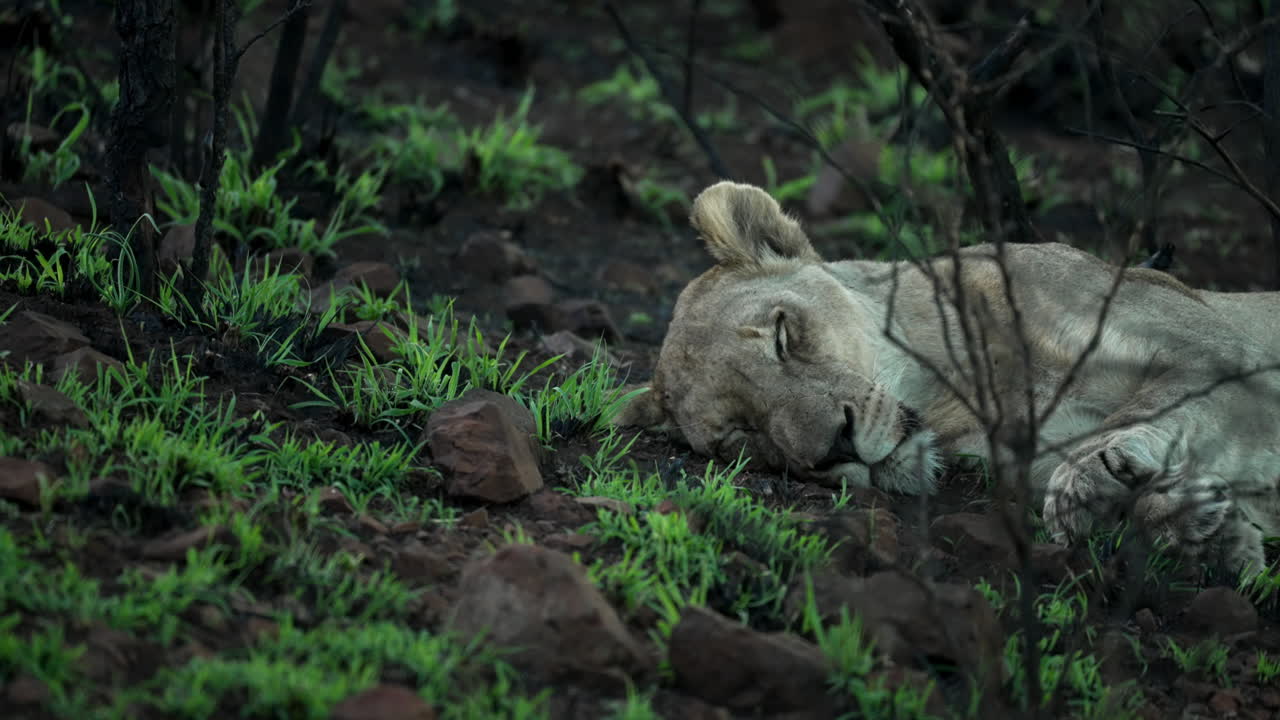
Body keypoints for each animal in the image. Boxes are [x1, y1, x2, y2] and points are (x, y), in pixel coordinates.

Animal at [617, 180, 1280, 572]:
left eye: (782, 335)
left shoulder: (1218, 350)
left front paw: (1100, 486)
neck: (962, 388)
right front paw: (1205, 529)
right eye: (740, 435)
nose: (835, 448)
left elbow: (1151, 408)